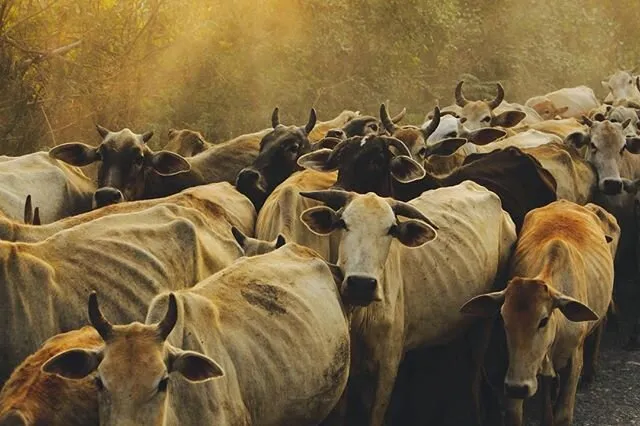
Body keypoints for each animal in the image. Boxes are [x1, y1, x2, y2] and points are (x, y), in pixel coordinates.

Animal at [298, 182, 517, 426]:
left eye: (391, 229)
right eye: (343, 223)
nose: (361, 284)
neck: (361, 316)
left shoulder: (388, 366)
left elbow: (376, 415)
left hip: (484, 321)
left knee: (475, 374)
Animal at [461, 200, 618, 426]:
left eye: (543, 320)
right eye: (504, 319)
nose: (518, 387)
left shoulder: (573, 359)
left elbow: (563, 414)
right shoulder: (518, 365)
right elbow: (516, 412)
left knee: (601, 323)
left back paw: (590, 373)